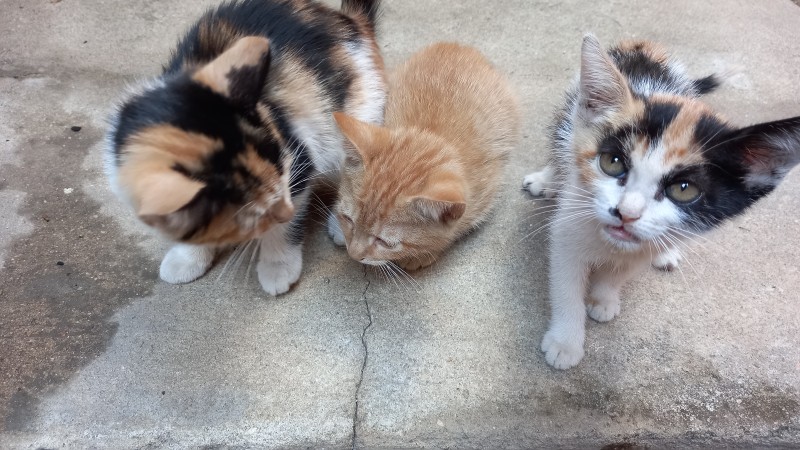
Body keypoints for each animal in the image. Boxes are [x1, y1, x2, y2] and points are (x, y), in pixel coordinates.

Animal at [104, 0, 386, 296]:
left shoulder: (297, 158)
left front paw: (278, 265)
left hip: (358, 112)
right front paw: (187, 258)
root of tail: (347, 20)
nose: (286, 212)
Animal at [330, 43, 520, 270]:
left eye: (384, 242)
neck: (432, 134)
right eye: (347, 219)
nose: (353, 254)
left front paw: (421, 255)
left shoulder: (487, 192)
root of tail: (457, 46)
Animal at [524, 35, 800, 370]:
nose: (626, 213)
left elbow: (621, 272)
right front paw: (565, 342)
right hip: (571, 110)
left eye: (683, 190)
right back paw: (547, 178)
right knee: (562, 141)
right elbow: (566, 285)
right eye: (612, 162)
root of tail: (644, 48)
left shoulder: (643, 244)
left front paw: (604, 297)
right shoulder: (568, 227)